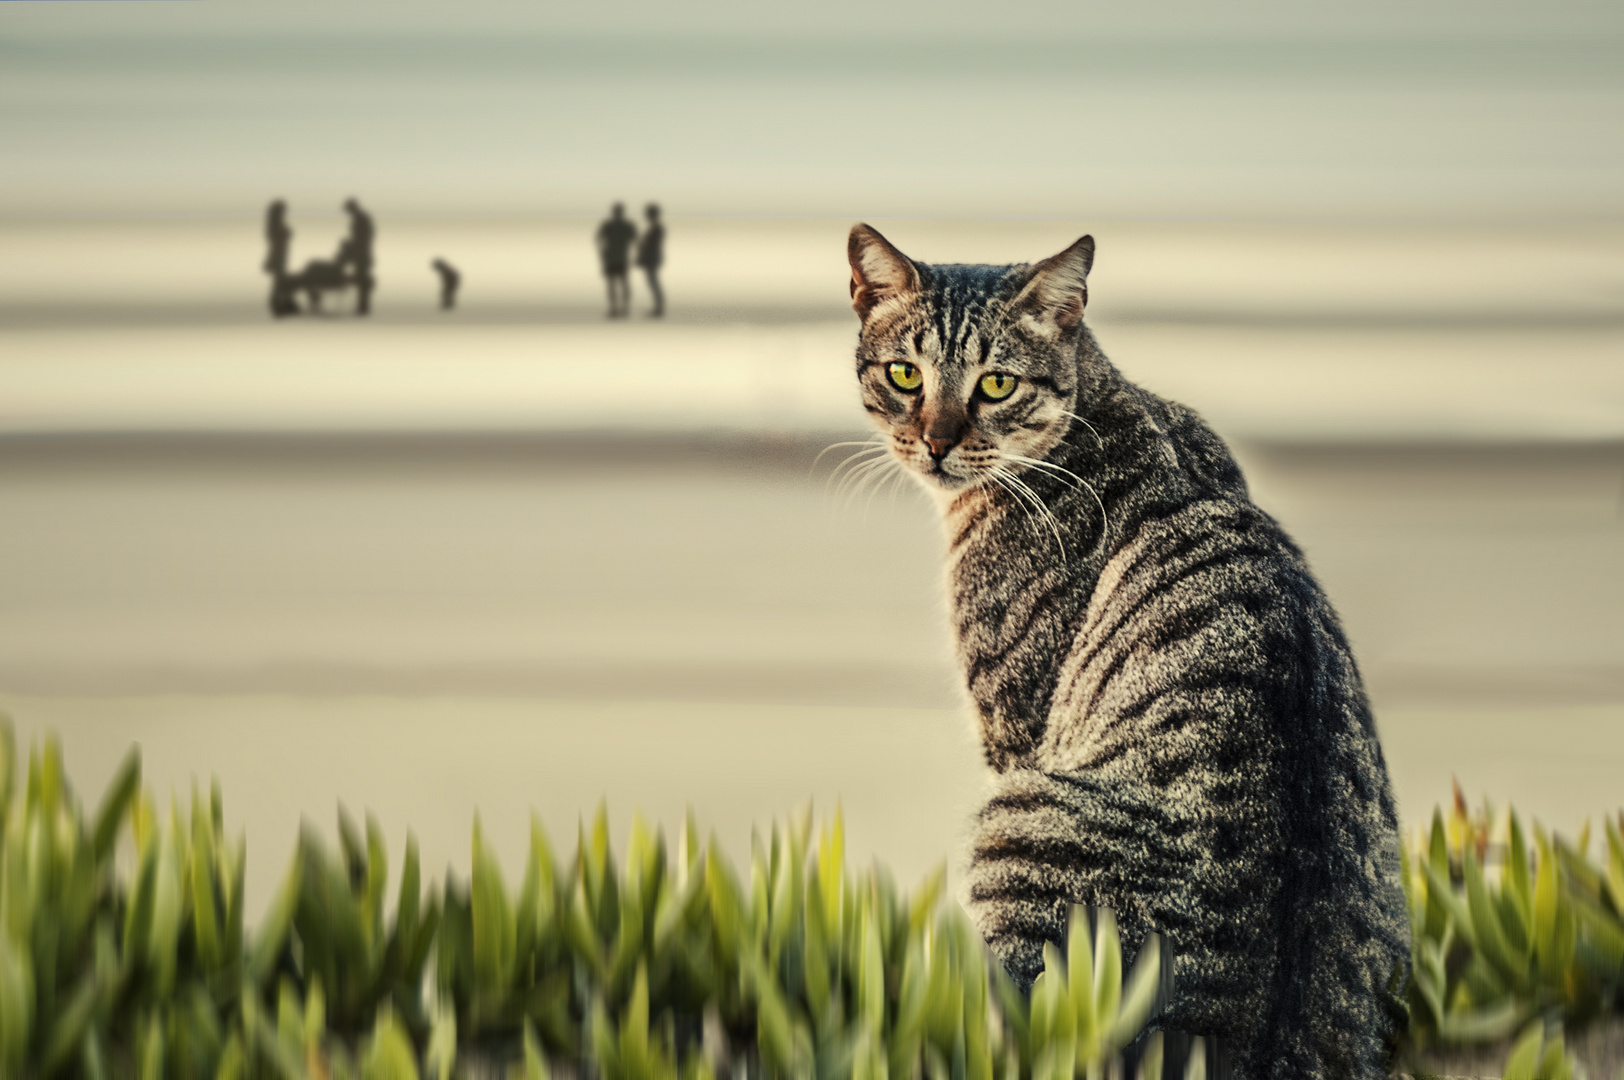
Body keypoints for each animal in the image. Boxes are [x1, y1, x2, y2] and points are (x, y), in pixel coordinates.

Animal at [844, 222, 1416, 1071]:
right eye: (905, 374)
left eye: (996, 385)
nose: (936, 442)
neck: (1105, 406)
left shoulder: (1014, 729)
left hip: (1016, 826)